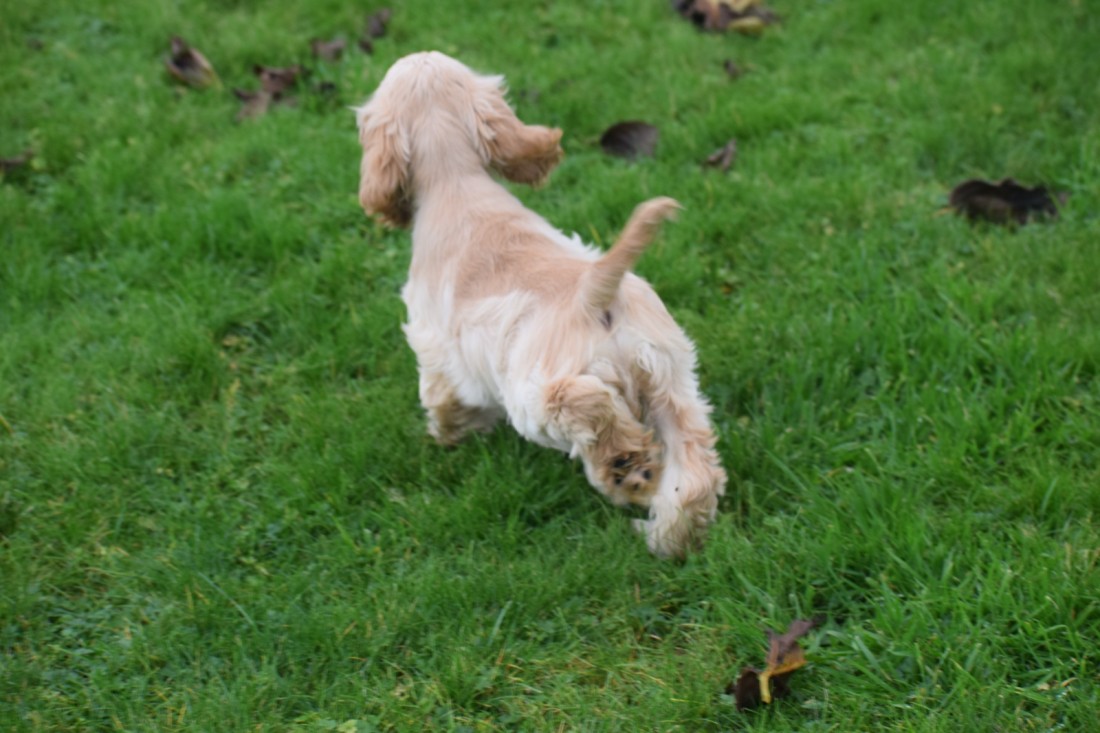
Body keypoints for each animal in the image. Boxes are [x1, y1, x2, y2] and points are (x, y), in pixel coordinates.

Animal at [355, 51, 726, 557]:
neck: (457, 184)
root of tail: (594, 292)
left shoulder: (433, 346)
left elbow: (439, 396)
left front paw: (447, 435)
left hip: (534, 400)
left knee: (585, 405)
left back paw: (625, 467)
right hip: (672, 384)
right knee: (693, 478)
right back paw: (664, 534)